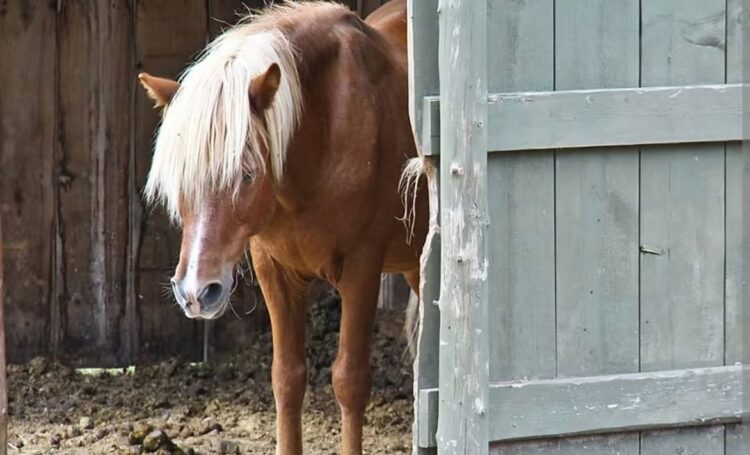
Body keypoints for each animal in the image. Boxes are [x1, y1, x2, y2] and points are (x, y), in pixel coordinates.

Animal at [137, 1, 427, 453]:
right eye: (179, 181)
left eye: (247, 174)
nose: (197, 292)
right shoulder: (275, 271)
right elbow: (286, 378)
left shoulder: (362, 270)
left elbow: (350, 381)